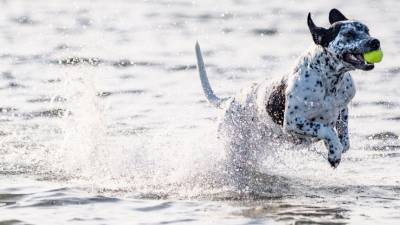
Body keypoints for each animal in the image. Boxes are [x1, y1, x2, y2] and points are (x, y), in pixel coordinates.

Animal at [196, 8, 382, 177]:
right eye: (349, 34)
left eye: (367, 30)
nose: (375, 42)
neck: (329, 81)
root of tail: (228, 101)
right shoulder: (294, 121)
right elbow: (327, 131)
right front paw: (334, 153)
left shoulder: (343, 108)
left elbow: (344, 137)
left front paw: (336, 146)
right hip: (234, 146)